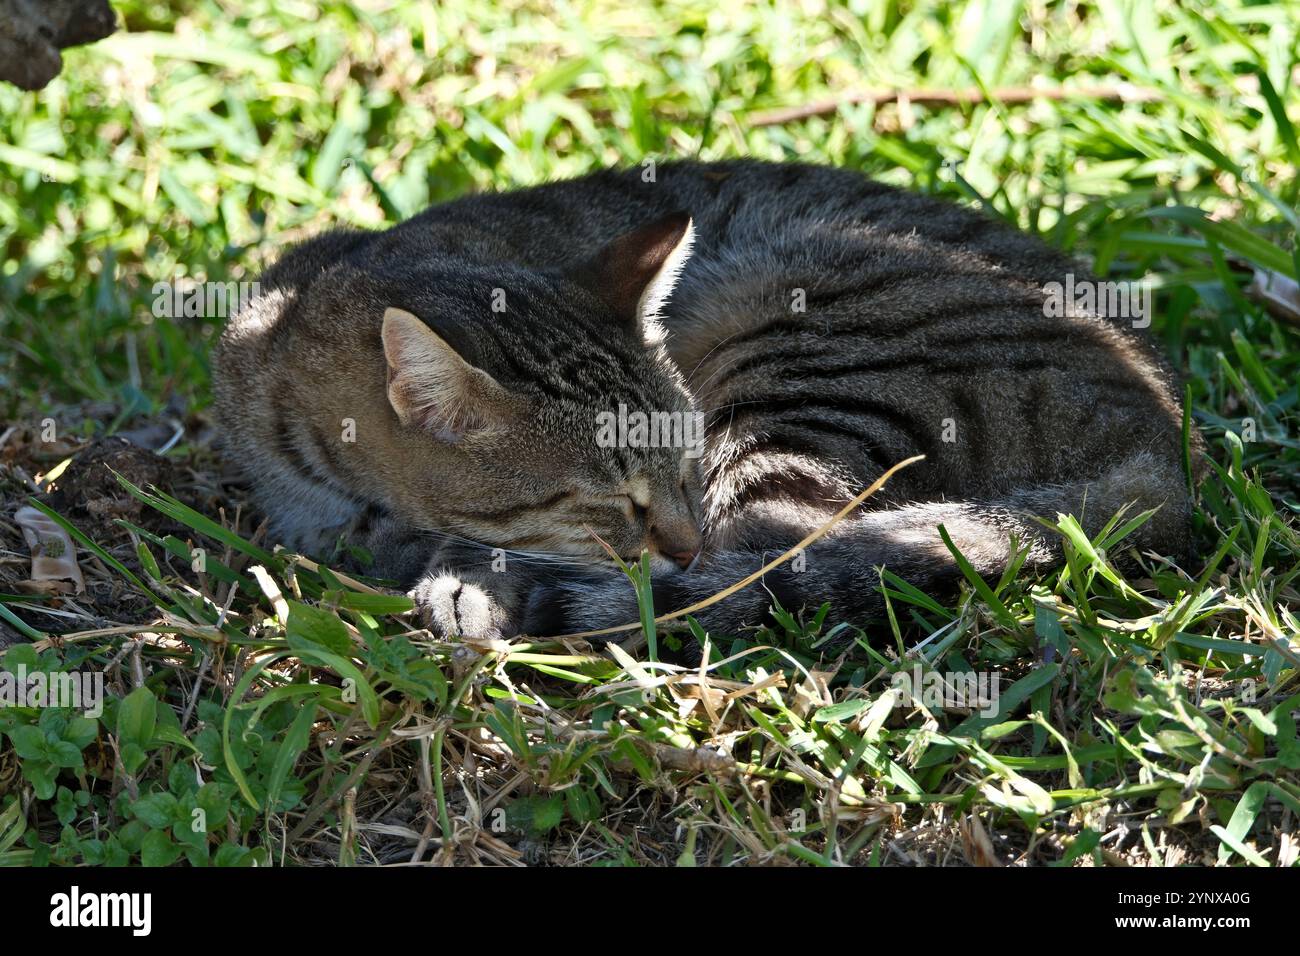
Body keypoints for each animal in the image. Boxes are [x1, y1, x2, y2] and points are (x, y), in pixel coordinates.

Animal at [213, 158, 1196, 650]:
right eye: (610, 499)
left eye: (685, 465)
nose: (678, 539)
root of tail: (1171, 451)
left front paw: (467, 577)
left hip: (797, 339)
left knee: (772, 557)